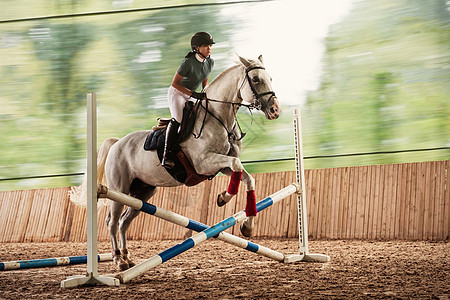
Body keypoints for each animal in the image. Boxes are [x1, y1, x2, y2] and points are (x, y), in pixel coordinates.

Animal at [70, 55, 280, 270]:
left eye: (270, 78)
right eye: (255, 79)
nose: (275, 110)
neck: (219, 118)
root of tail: (116, 143)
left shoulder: (221, 166)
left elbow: (247, 178)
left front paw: (246, 225)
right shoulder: (204, 163)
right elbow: (237, 165)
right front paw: (224, 197)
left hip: (142, 193)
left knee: (123, 222)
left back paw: (127, 258)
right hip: (119, 190)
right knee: (112, 222)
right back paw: (118, 261)